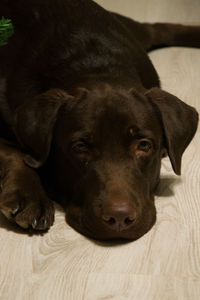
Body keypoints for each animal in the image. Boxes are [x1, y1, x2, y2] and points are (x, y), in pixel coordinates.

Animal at [0, 0, 198, 239]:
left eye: (144, 145)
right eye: (80, 147)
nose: (119, 217)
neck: (94, 66)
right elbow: (13, 153)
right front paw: (28, 196)